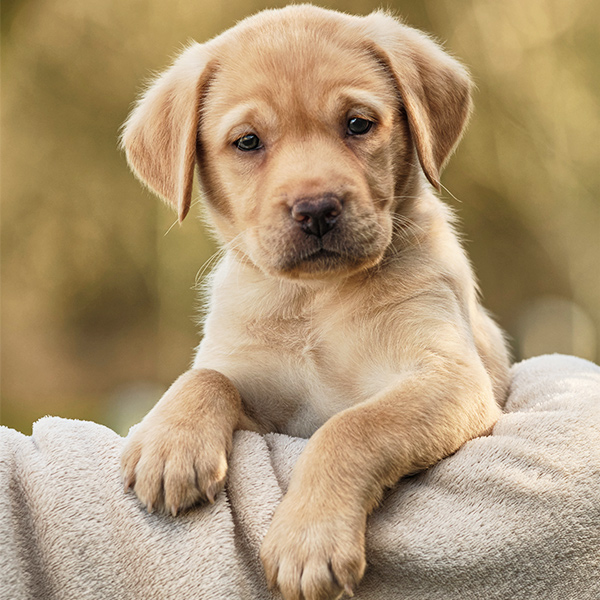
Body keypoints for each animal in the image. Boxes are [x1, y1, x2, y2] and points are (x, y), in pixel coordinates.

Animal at [120, 5, 510, 600]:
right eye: (248, 142)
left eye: (358, 124)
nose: (317, 209)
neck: (315, 300)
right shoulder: (258, 405)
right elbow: (206, 377)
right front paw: (170, 446)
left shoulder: (449, 376)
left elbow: (351, 427)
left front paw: (308, 542)